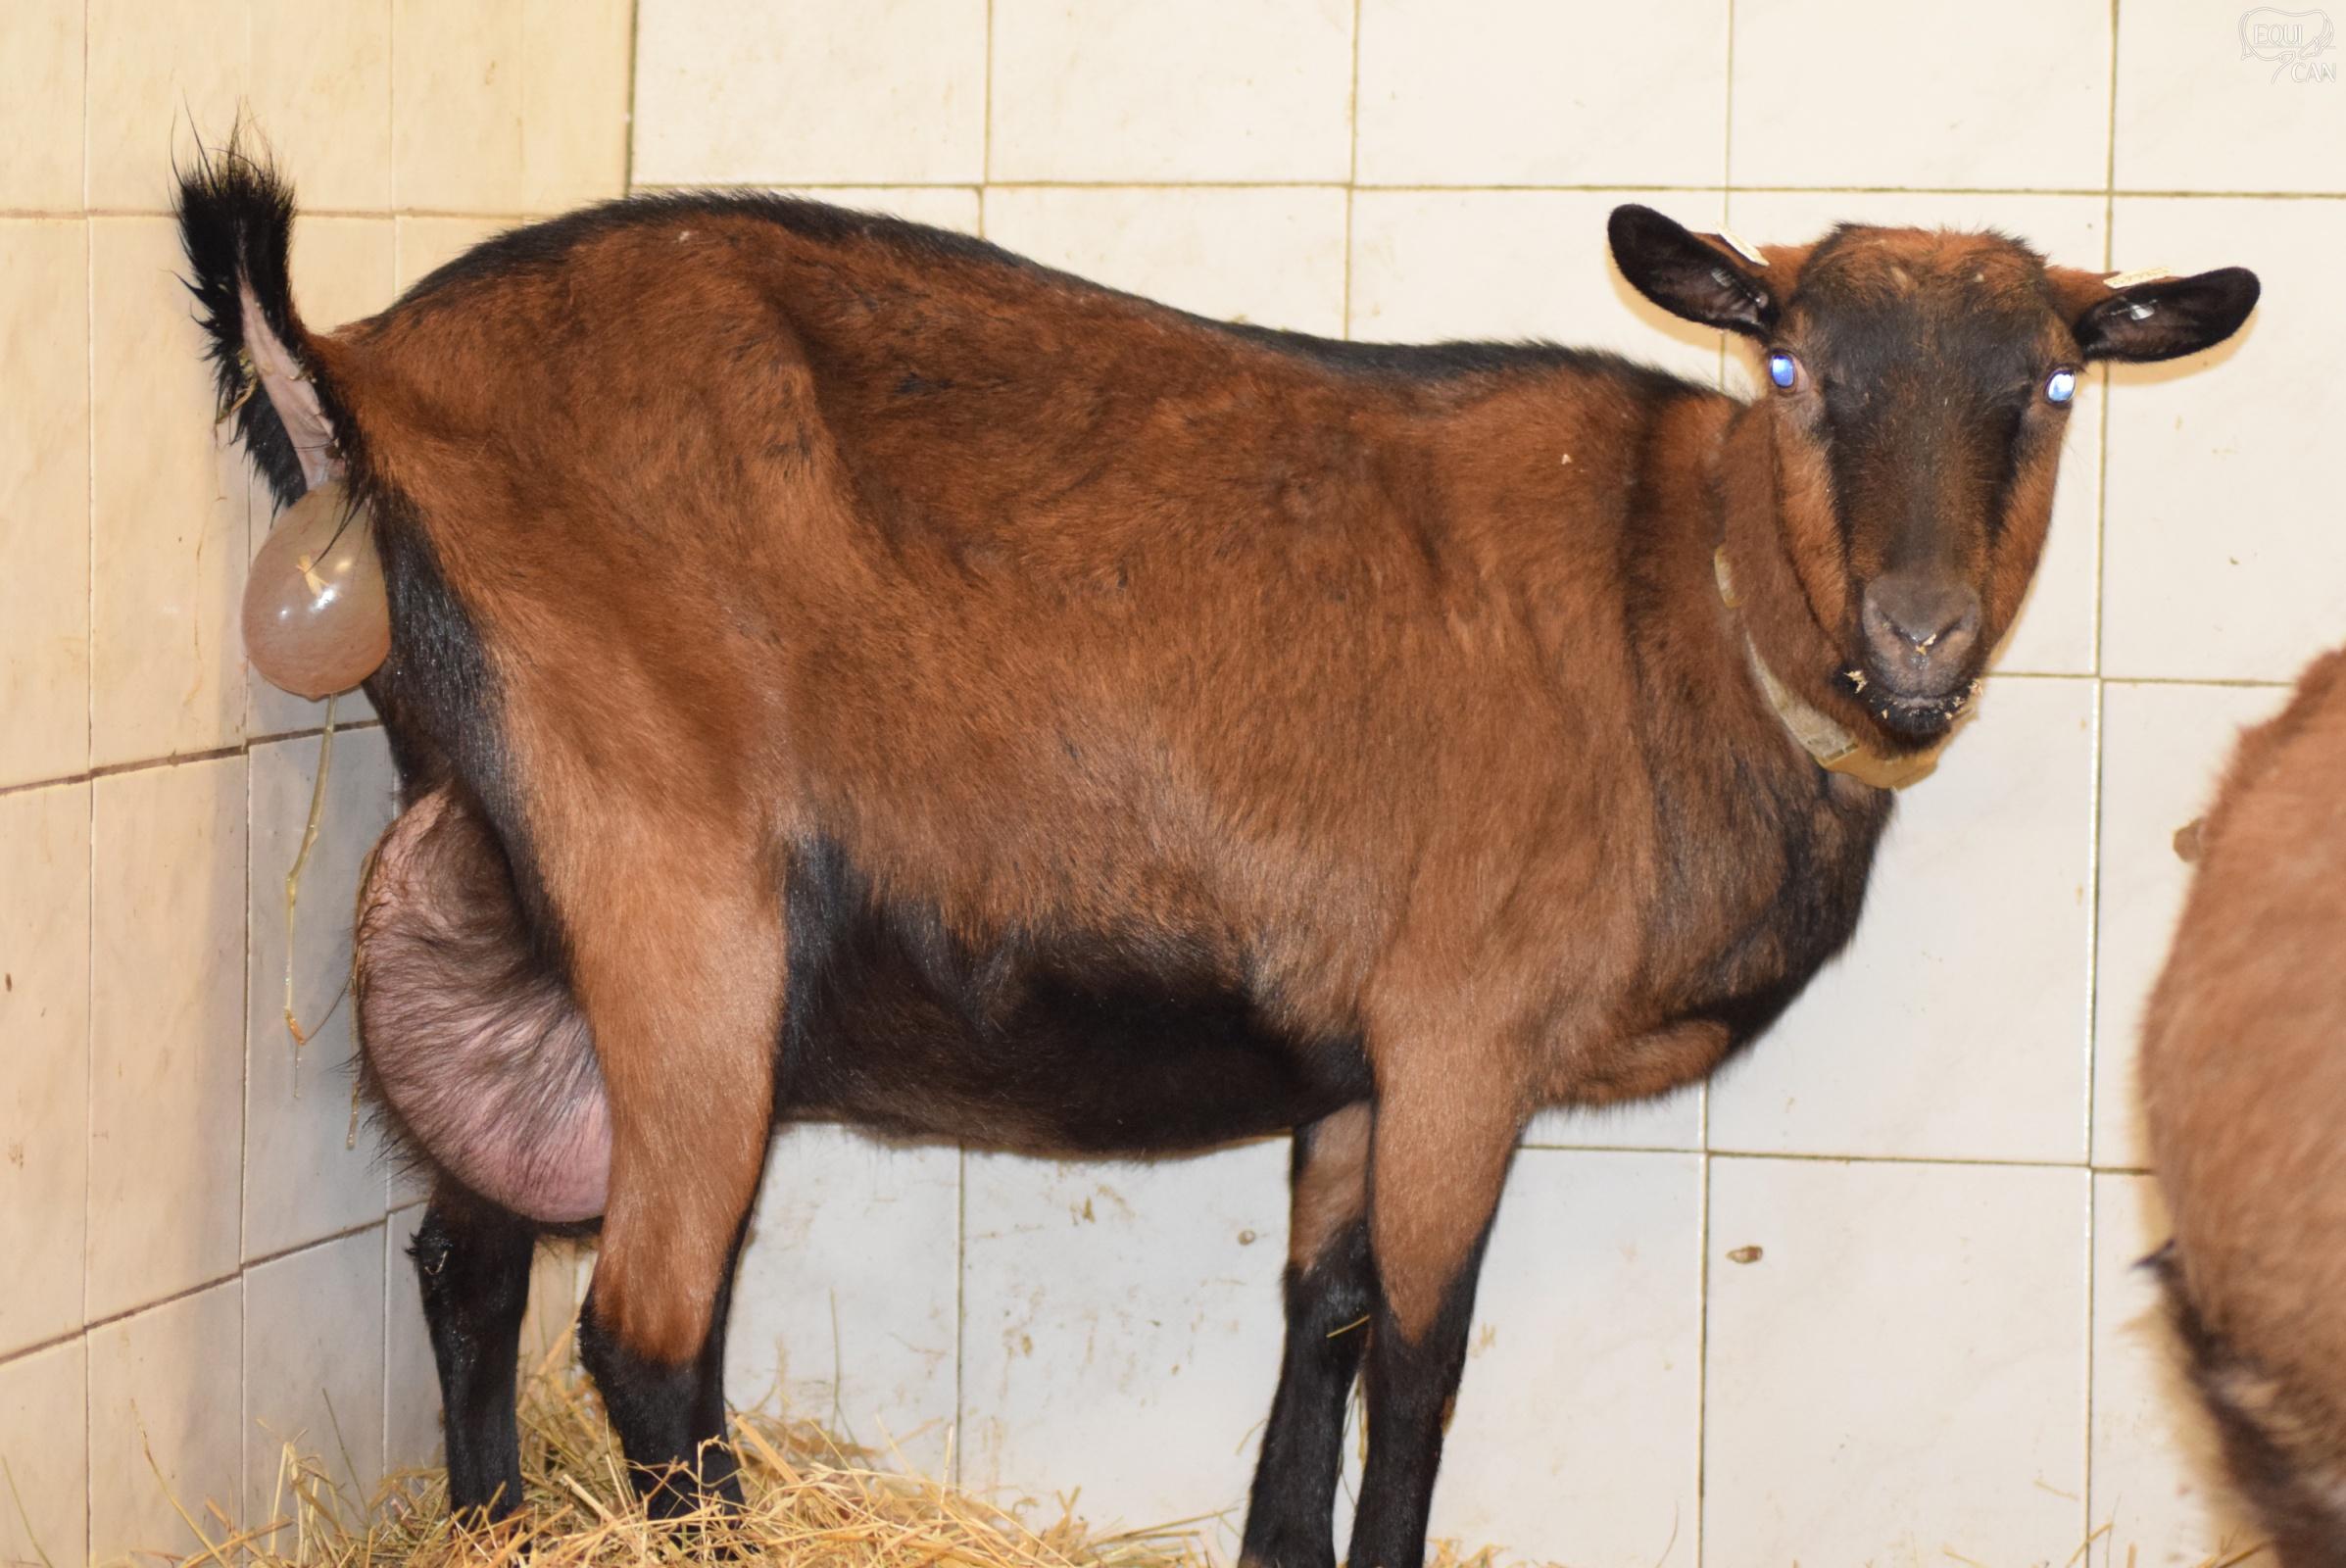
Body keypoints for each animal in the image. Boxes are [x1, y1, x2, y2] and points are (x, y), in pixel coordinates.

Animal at [176, 146, 2258, 1567]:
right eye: (1788, 369)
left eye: (2049, 383)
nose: (1913, 634)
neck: (1670, 602)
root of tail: (365, 371)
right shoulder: (1461, 1037)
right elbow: (1417, 1362)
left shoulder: (1351, 1061)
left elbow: (1316, 1332)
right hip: (676, 890)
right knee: (644, 1333)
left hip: (510, 893)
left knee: (468, 1259)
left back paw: (494, 1529)